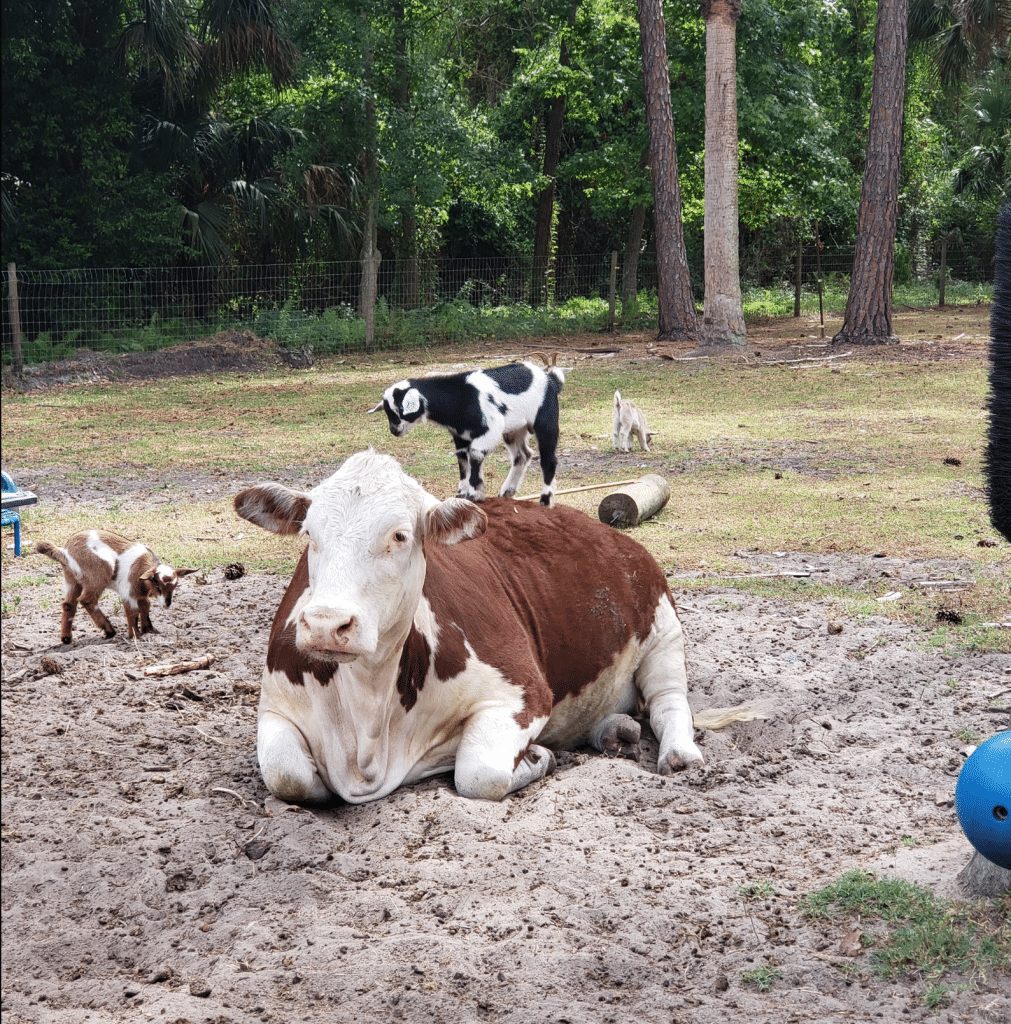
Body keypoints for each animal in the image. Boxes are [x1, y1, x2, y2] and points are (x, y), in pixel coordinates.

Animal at [234, 450, 763, 804]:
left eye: (400, 535)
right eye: (309, 534)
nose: (326, 625)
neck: (368, 723)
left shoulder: (523, 691)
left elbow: (479, 773)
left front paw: (536, 759)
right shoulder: (275, 705)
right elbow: (287, 776)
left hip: (662, 628)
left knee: (669, 700)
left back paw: (678, 753)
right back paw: (612, 731)